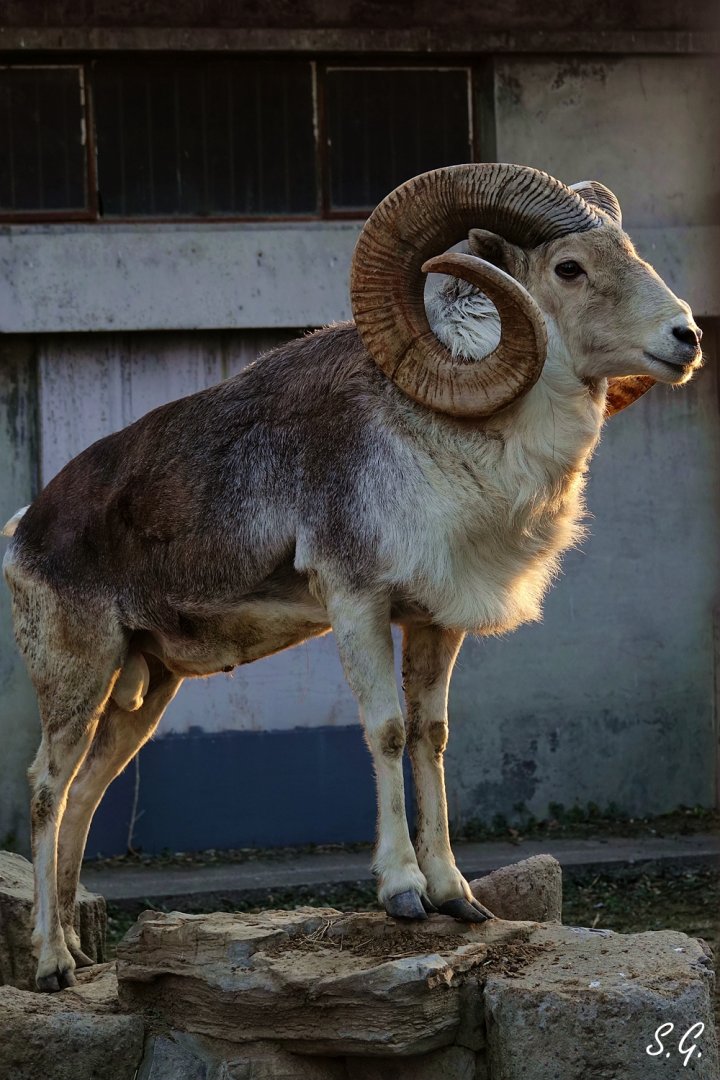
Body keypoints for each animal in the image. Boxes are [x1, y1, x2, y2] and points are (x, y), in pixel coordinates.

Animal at [1, 163, 703, 992]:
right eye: (569, 268)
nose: (686, 338)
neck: (446, 448)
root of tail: (25, 531)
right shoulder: (357, 603)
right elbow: (388, 733)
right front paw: (403, 894)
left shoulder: (435, 622)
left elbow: (431, 736)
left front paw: (456, 896)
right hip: (78, 677)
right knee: (48, 789)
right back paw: (50, 965)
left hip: (144, 690)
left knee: (86, 793)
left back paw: (83, 963)